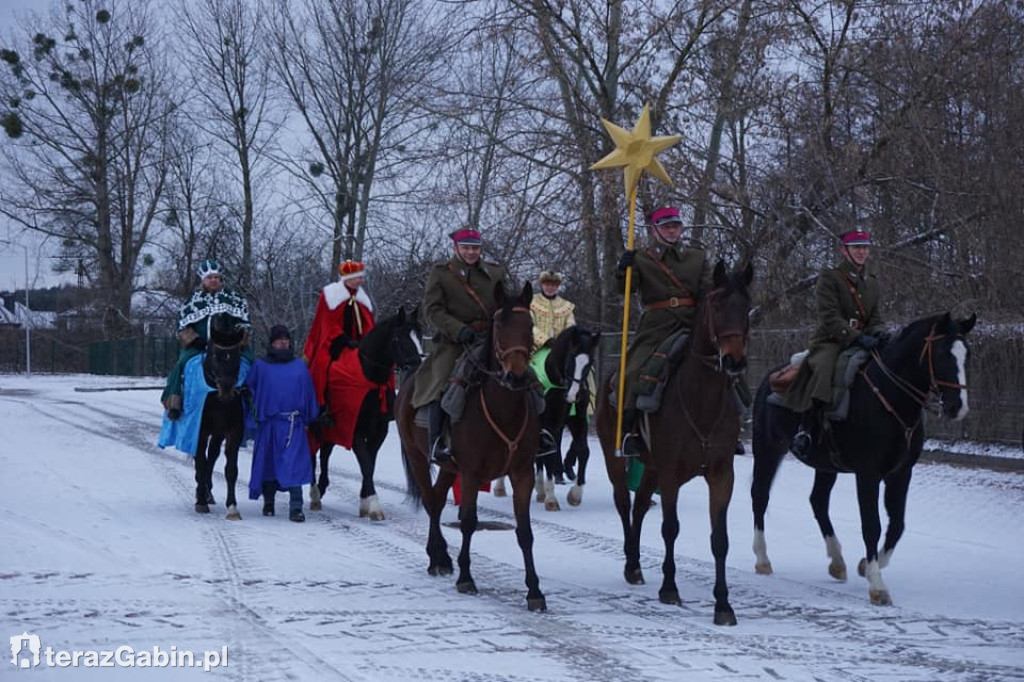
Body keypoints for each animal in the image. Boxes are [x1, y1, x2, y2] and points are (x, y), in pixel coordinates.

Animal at [193, 311, 245, 516]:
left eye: (238, 354)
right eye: (215, 354)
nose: (227, 392)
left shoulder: (233, 430)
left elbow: (231, 469)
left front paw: (232, 506)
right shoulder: (199, 430)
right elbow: (200, 461)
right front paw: (200, 501)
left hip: (217, 433)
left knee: (212, 455)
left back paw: (207, 491)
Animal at [311, 305, 423, 518]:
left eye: (419, 338)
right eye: (401, 339)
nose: (416, 369)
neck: (370, 377)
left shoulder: (379, 431)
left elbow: (370, 463)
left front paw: (365, 502)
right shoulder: (353, 429)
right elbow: (366, 464)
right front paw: (374, 505)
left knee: (325, 454)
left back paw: (320, 487)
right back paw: (314, 493)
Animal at [395, 280, 548, 610]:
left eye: (529, 324)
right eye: (499, 324)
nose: (516, 376)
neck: (504, 409)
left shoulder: (523, 473)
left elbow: (525, 532)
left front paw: (534, 590)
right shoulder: (471, 473)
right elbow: (468, 522)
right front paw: (466, 577)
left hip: (449, 467)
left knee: (438, 499)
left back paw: (439, 556)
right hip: (418, 457)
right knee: (431, 501)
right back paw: (438, 558)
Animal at [593, 259, 753, 622]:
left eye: (746, 307)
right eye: (717, 306)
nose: (734, 360)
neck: (702, 400)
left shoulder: (721, 474)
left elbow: (719, 538)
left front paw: (723, 604)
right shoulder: (670, 473)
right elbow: (670, 527)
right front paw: (669, 588)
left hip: (650, 468)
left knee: (639, 507)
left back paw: (635, 564)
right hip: (617, 458)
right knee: (624, 503)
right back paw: (630, 563)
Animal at [753, 311, 974, 602]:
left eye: (966, 354)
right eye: (940, 353)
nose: (958, 407)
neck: (889, 395)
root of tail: (769, 377)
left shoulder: (901, 473)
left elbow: (897, 525)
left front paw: (866, 566)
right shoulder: (867, 474)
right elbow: (872, 525)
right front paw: (877, 584)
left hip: (826, 465)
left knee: (818, 501)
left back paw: (837, 561)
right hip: (767, 449)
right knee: (760, 496)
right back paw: (762, 559)